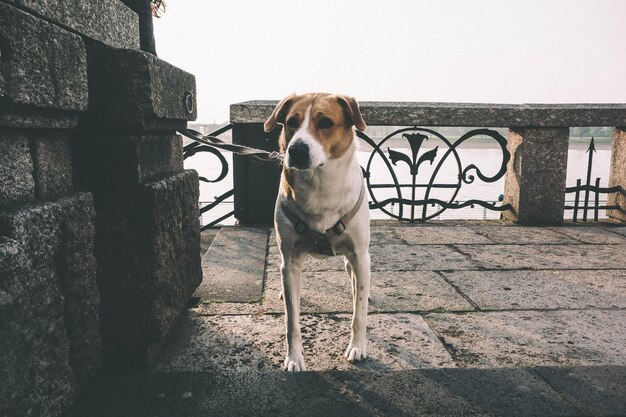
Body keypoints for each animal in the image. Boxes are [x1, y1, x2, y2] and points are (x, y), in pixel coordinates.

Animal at [264, 92, 370, 368]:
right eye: (291, 122)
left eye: (325, 123)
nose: (297, 149)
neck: (321, 187)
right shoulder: (290, 258)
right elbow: (291, 320)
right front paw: (294, 358)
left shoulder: (359, 253)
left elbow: (359, 313)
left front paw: (357, 347)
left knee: (355, 279)